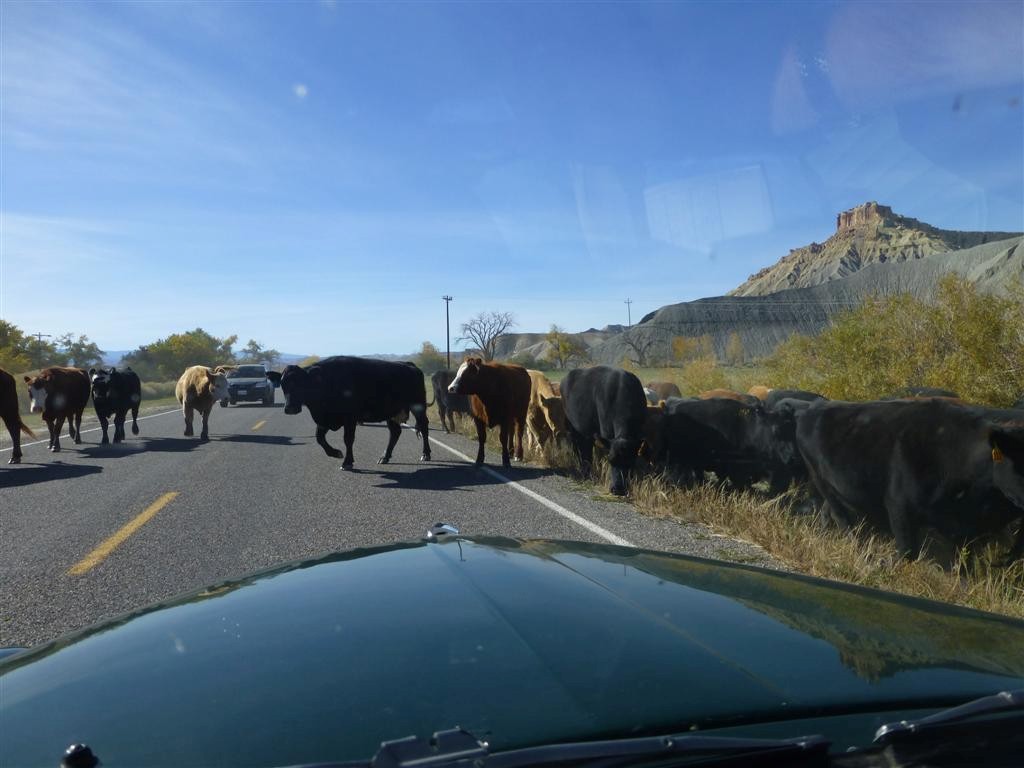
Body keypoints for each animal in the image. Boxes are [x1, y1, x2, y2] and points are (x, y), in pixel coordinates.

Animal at [267, 356, 430, 469]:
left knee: (424, 427)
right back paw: (385, 456)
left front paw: (347, 462)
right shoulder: (324, 419)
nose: (289, 408)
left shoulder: (350, 418)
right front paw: (335, 453)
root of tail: (409, 364)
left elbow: (348, 439)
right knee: (395, 432)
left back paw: (426, 454)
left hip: (418, 405)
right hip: (391, 412)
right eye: (282, 384)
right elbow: (319, 438)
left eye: (301, 383)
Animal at [561, 366, 648, 495]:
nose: (618, 489)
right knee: (577, 449)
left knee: (586, 449)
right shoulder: (607, 433)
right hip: (572, 428)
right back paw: (584, 473)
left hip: (587, 433)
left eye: (631, 461)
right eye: (611, 460)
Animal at [796, 399, 1024, 560]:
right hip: (820, 480)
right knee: (841, 517)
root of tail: (814, 407)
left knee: (829, 512)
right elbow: (908, 552)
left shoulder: (964, 528)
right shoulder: (899, 506)